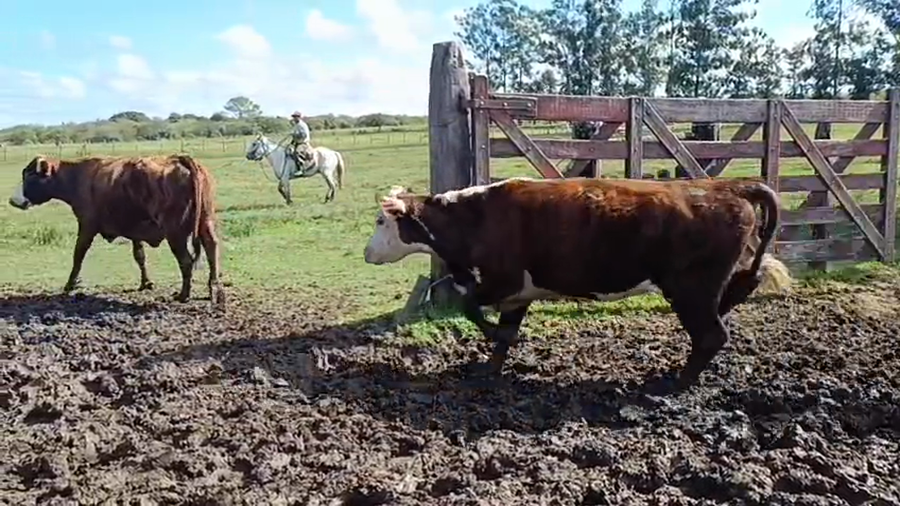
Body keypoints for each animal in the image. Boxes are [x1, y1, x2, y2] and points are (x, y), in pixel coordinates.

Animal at [8, 154, 225, 307]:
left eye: (29, 175)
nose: (12, 200)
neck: (77, 177)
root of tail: (180, 159)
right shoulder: (135, 230)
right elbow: (139, 256)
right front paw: (146, 283)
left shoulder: (87, 226)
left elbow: (78, 255)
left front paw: (70, 285)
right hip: (205, 223)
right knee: (212, 250)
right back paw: (214, 290)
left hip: (175, 234)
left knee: (186, 262)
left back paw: (183, 295)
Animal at [362, 176, 791, 391]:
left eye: (381, 221)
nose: (366, 252)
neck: (475, 216)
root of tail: (729, 187)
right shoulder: (518, 294)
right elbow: (503, 331)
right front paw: (491, 367)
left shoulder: (503, 282)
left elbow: (472, 309)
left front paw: (501, 344)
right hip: (708, 285)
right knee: (734, 299)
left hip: (691, 288)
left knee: (711, 335)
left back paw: (673, 383)